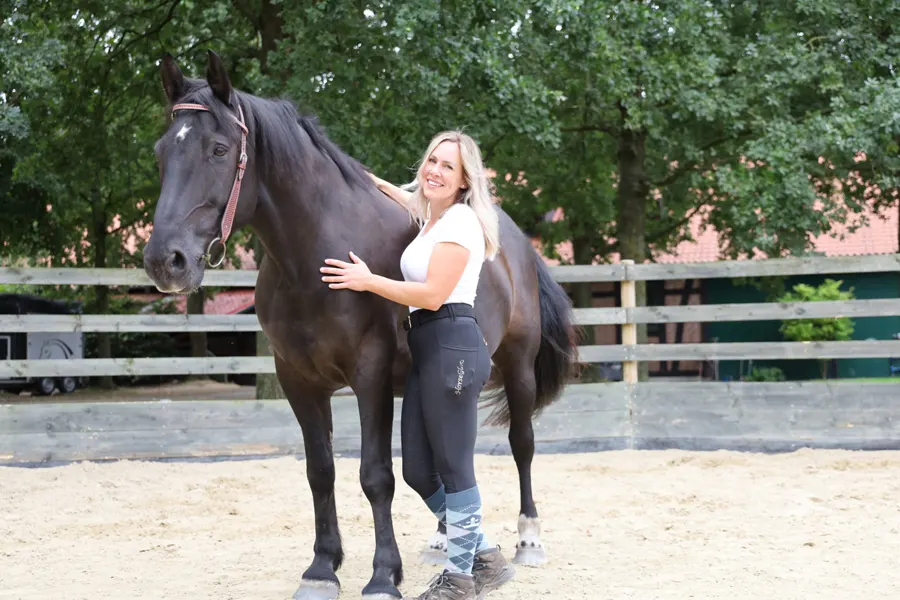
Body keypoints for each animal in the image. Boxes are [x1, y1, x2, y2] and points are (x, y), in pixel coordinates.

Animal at [142, 50, 578, 600]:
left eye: (219, 149)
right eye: (162, 152)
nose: (165, 261)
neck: (313, 256)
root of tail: (512, 239)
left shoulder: (369, 374)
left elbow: (376, 476)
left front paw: (382, 575)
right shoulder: (297, 380)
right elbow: (320, 470)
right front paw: (322, 568)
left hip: (517, 367)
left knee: (522, 444)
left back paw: (527, 541)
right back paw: (445, 543)